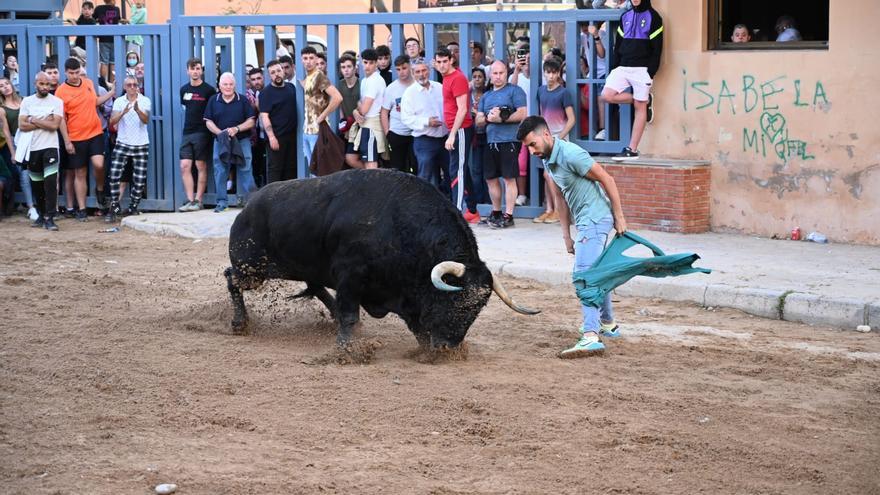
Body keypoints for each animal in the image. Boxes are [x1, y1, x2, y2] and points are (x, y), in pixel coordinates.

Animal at [223, 170, 540, 348]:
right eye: (455, 300)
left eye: (477, 308)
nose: (449, 347)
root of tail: (248, 205)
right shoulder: (350, 277)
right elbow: (350, 314)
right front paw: (347, 350)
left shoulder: (406, 292)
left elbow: (417, 325)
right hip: (252, 269)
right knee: (231, 278)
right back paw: (239, 323)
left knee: (315, 286)